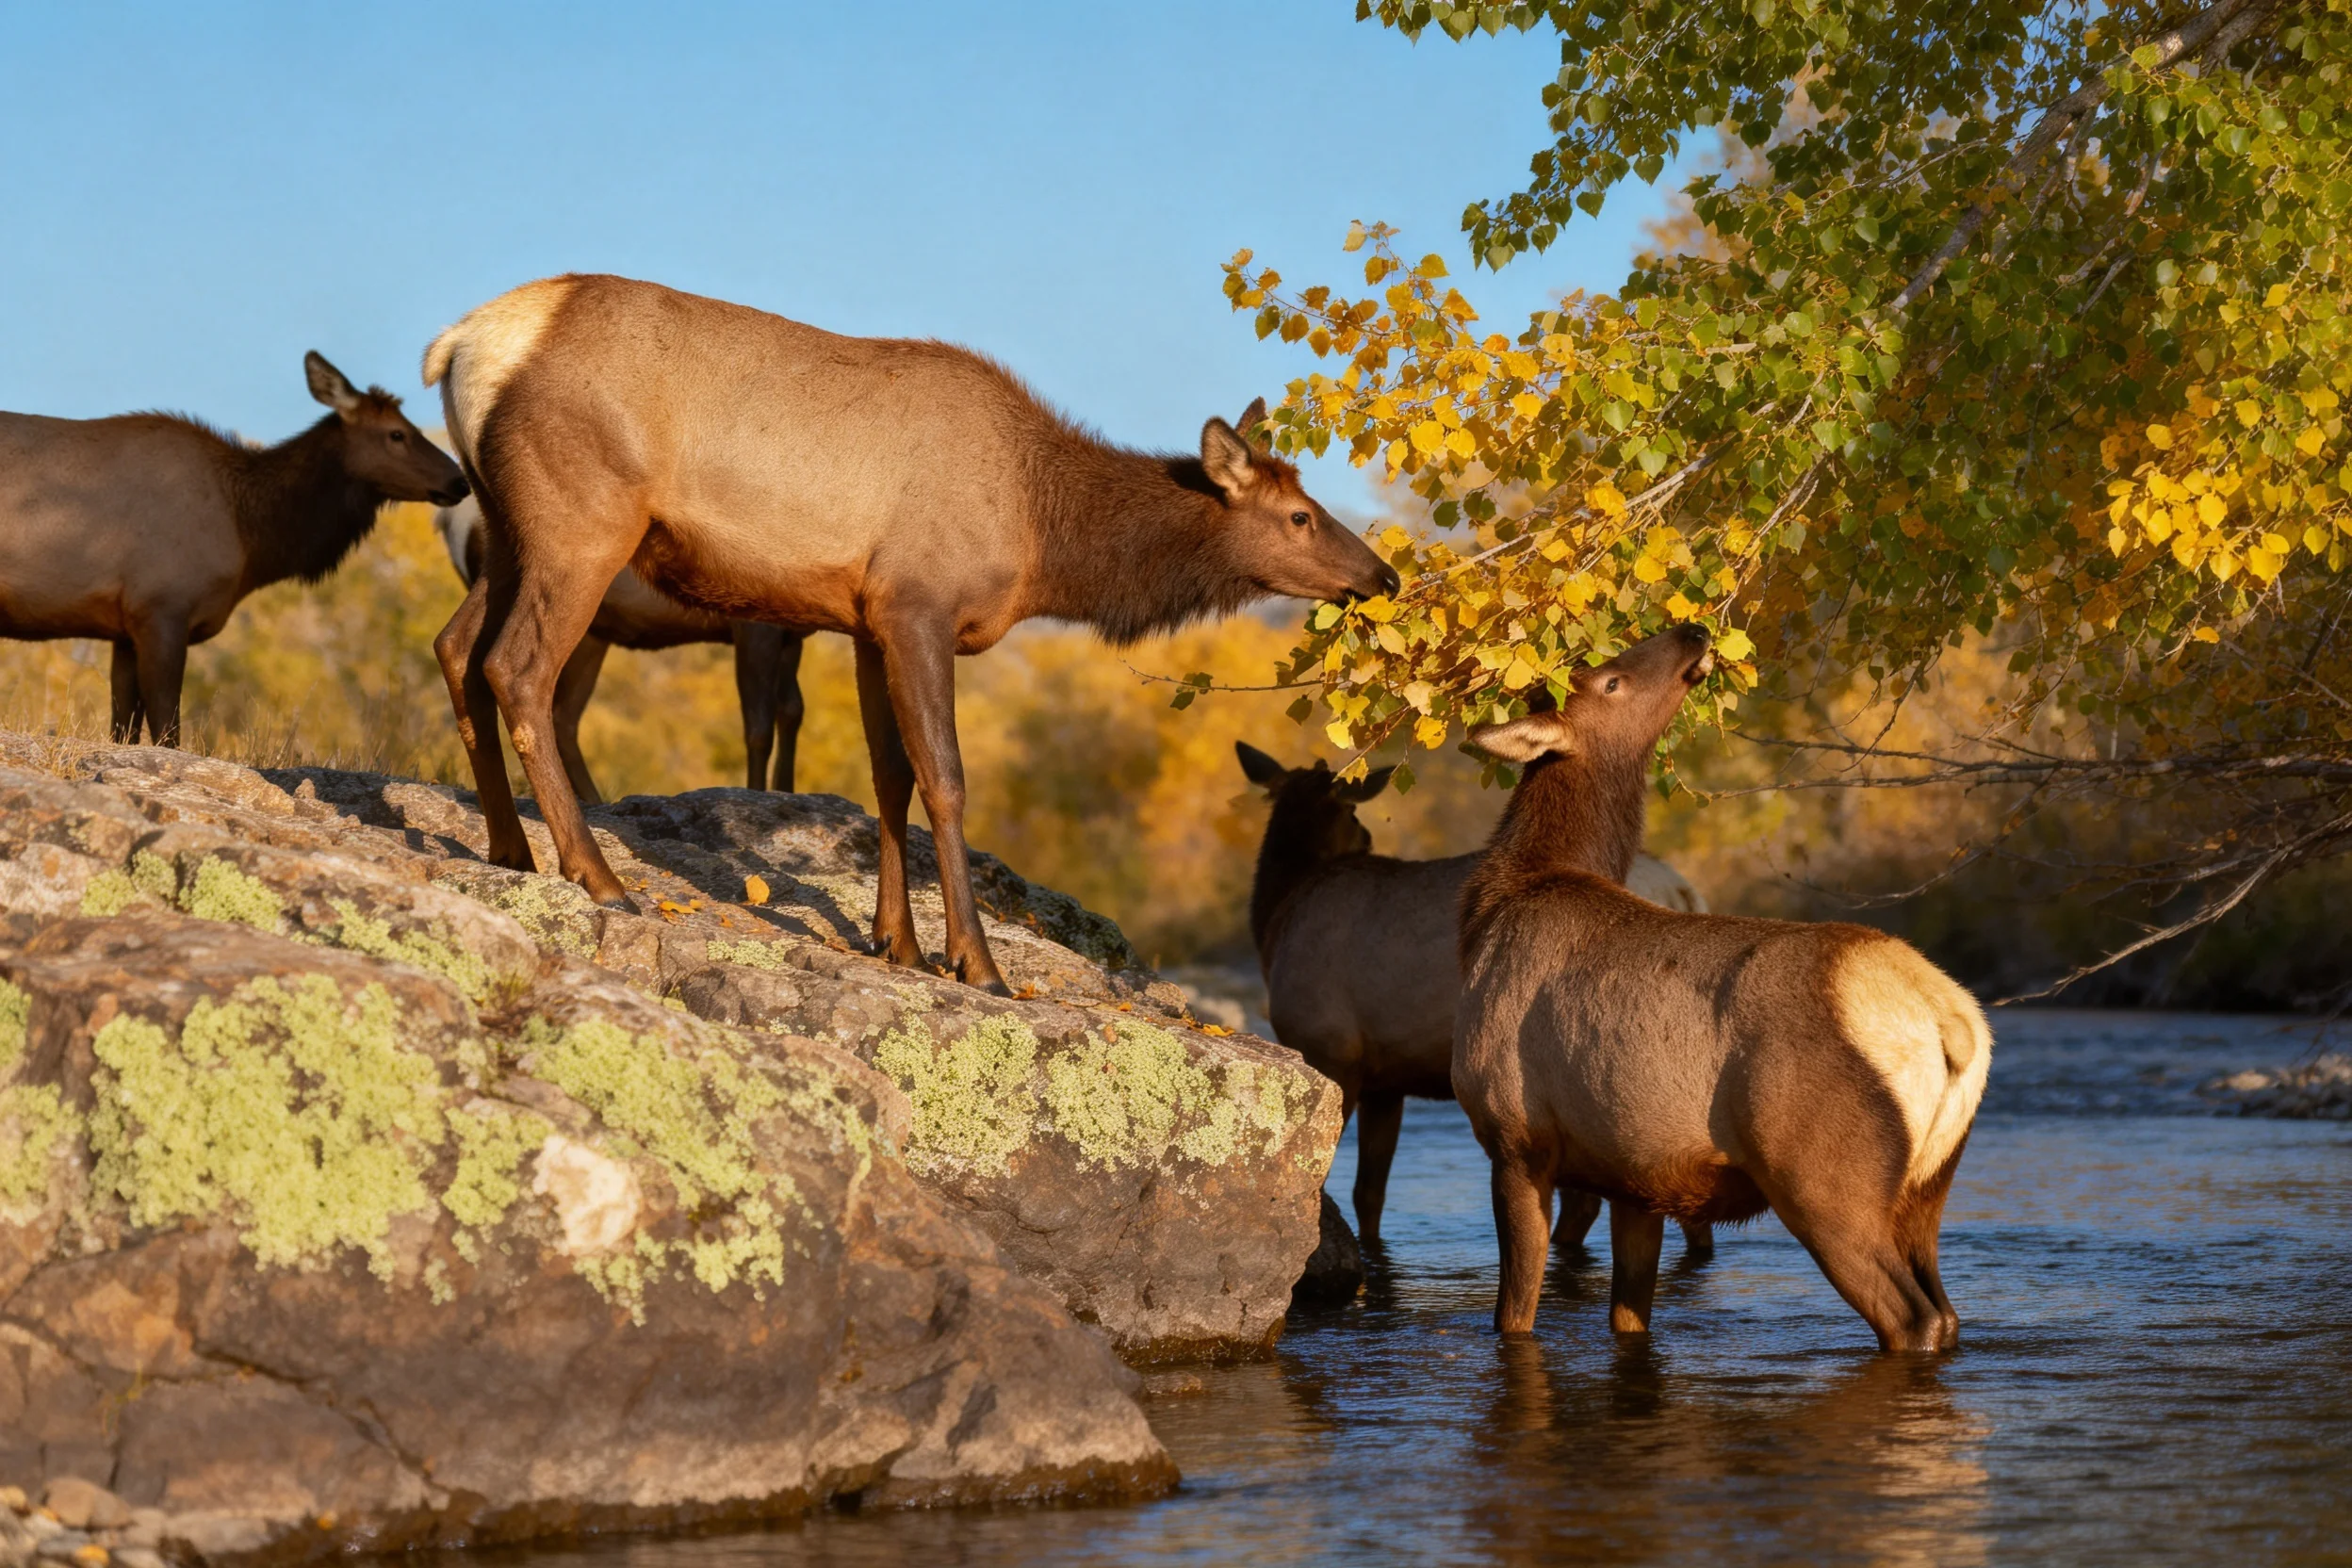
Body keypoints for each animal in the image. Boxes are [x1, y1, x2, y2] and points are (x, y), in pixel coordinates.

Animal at [0, 353, 467, 746]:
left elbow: (123, 728)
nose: (459, 481)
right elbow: (168, 729)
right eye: (397, 434)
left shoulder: (125, 629)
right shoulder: (162, 609)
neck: (250, 536)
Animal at [435, 495, 808, 802]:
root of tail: (446, 522)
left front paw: (788, 791)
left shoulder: (793, 638)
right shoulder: (754, 628)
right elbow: (758, 727)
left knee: (562, 716)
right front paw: (760, 796)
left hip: (592, 639)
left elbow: (791, 711)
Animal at [1236, 741, 1714, 1258]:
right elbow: (1370, 1193)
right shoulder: (1386, 1080)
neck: (1276, 919)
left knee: (1591, 1200)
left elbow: (1323, 1183)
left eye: (1352, 811)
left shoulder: (1330, 1047)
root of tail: (1682, 890)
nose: (1365, 837)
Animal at [1454, 623, 1991, 1352]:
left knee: (1913, 1317)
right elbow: (1629, 1317)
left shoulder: (1515, 1138)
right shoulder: (1637, 1177)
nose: (1693, 631)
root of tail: (1952, 1024)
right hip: (1927, 1189)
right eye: (1611, 680)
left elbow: (1514, 1315)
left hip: (1825, 1183)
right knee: (1949, 1312)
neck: (1491, 908)